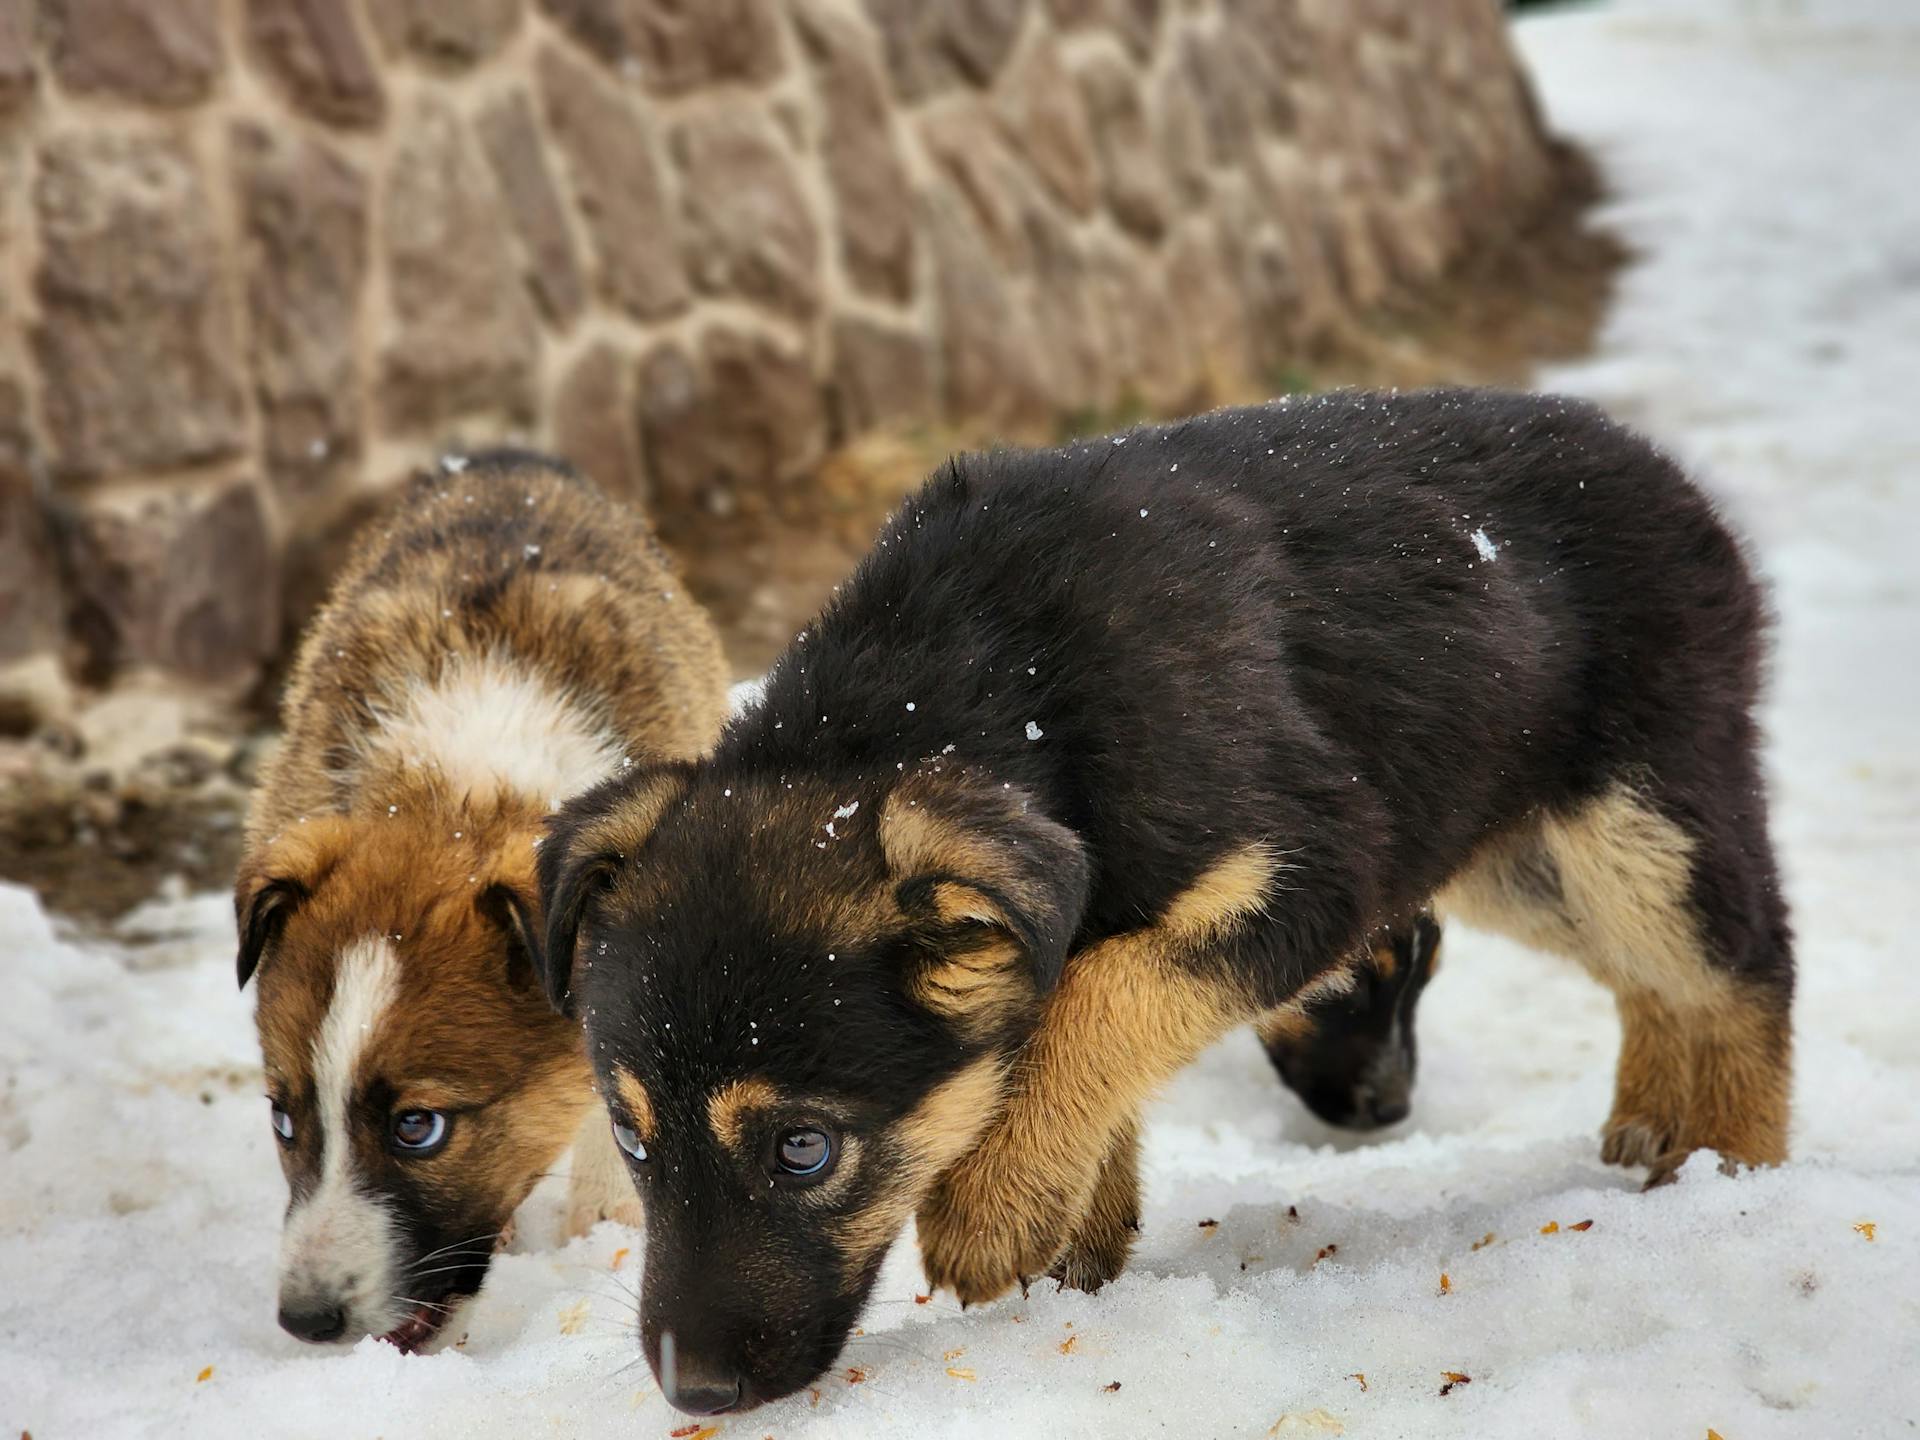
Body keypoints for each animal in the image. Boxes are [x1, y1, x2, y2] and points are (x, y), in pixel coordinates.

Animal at [234, 456, 725, 1359]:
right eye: (283, 1119)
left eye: (418, 1127)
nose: (308, 1323)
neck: (456, 787)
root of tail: (507, 459)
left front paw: (607, 1229)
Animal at [533, 389, 1789, 1413]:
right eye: (630, 1141)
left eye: (803, 1151)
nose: (692, 1394)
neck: (995, 684)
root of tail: (1670, 475)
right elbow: (1085, 1021)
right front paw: (1070, 1253)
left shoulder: (1309, 869)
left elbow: (1097, 991)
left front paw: (994, 1203)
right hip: (1511, 846)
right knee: (1655, 980)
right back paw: (1650, 1130)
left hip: (1634, 827)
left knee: (1743, 960)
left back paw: (1735, 1172)